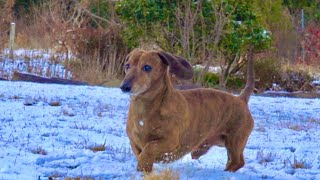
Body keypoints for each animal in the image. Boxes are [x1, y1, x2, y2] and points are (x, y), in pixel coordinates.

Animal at [119, 48, 254, 172]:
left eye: (147, 67)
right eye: (127, 66)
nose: (124, 87)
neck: (144, 110)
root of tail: (241, 99)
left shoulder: (170, 142)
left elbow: (150, 148)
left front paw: (143, 166)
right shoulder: (134, 142)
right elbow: (141, 153)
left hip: (235, 141)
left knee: (238, 162)